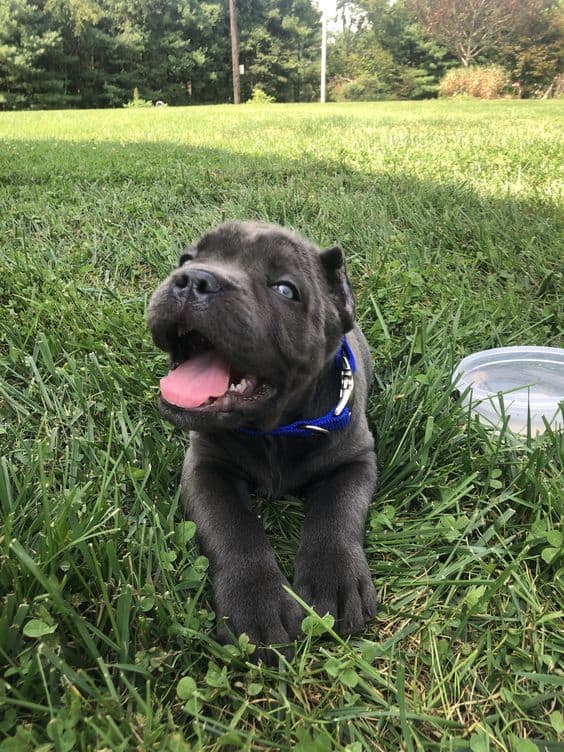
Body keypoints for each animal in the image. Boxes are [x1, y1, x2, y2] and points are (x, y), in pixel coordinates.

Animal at [148, 220, 376, 660]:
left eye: (285, 289)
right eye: (186, 259)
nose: (193, 279)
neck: (273, 429)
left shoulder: (356, 459)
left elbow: (338, 510)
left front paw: (334, 579)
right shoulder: (205, 467)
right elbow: (232, 526)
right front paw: (256, 603)